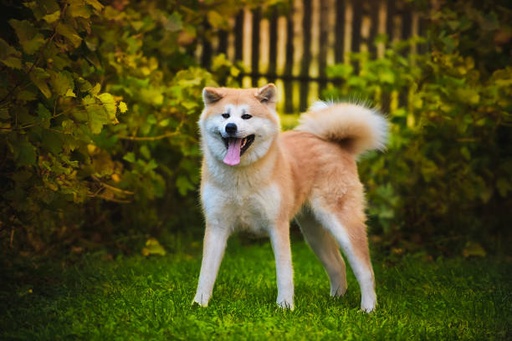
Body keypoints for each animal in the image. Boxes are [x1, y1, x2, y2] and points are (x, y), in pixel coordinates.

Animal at [194, 83, 386, 310]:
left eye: (246, 116)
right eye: (225, 115)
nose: (231, 127)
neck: (240, 177)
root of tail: (336, 144)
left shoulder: (277, 225)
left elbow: (284, 272)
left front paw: (285, 306)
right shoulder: (217, 225)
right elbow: (206, 272)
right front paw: (199, 304)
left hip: (342, 225)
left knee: (366, 270)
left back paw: (368, 308)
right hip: (314, 233)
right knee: (338, 264)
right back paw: (336, 299)